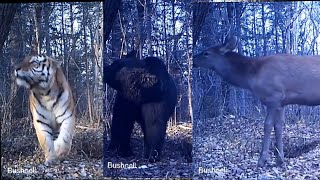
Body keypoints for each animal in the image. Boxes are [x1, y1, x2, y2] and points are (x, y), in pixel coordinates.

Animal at [192, 35, 320, 167]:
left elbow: (267, 125)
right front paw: (280, 159)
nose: (192, 60)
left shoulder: (274, 97)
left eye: (206, 53)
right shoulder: (281, 102)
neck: (251, 77)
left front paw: (262, 160)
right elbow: (278, 126)